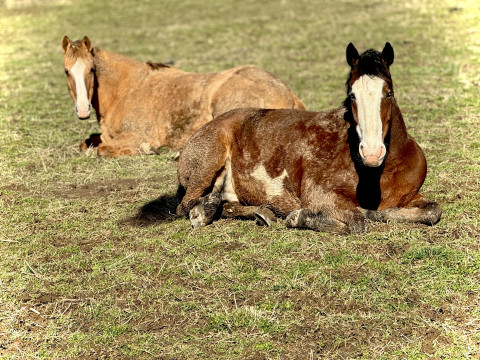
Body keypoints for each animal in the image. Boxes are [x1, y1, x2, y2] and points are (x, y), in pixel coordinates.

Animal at [62, 35, 306, 158]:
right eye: (66, 71)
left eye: (91, 70)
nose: (82, 109)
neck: (126, 90)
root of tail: (289, 94)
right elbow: (89, 143)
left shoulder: (137, 136)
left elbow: (103, 149)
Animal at [174, 42, 440, 233]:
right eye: (351, 95)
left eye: (389, 93)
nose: (372, 153)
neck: (380, 174)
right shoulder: (319, 194)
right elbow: (357, 221)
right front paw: (300, 217)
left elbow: (433, 211)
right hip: (207, 164)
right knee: (186, 205)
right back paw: (204, 211)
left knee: (228, 204)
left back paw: (261, 213)